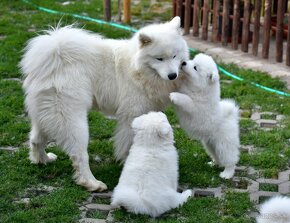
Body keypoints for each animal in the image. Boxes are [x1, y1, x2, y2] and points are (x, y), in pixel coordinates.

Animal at [19, 17, 188, 191]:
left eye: (174, 56)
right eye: (159, 58)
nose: (172, 75)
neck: (136, 68)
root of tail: (54, 56)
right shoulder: (131, 115)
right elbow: (128, 143)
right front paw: (129, 160)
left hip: (46, 115)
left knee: (35, 139)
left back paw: (42, 159)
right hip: (73, 121)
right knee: (79, 155)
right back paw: (92, 183)